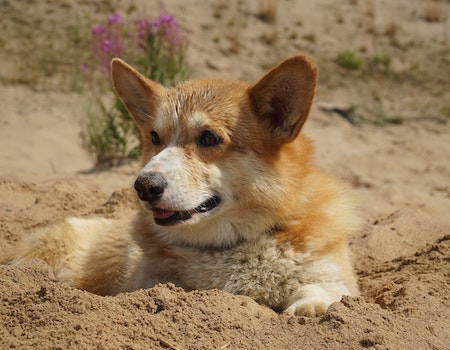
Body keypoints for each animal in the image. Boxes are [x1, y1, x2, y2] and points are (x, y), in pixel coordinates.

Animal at [12, 56, 360, 316]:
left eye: (209, 138)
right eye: (154, 137)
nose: (144, 186)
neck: (228, 245)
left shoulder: (332, 275)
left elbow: (323, 292)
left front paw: (308, 308)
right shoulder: (150, 279)